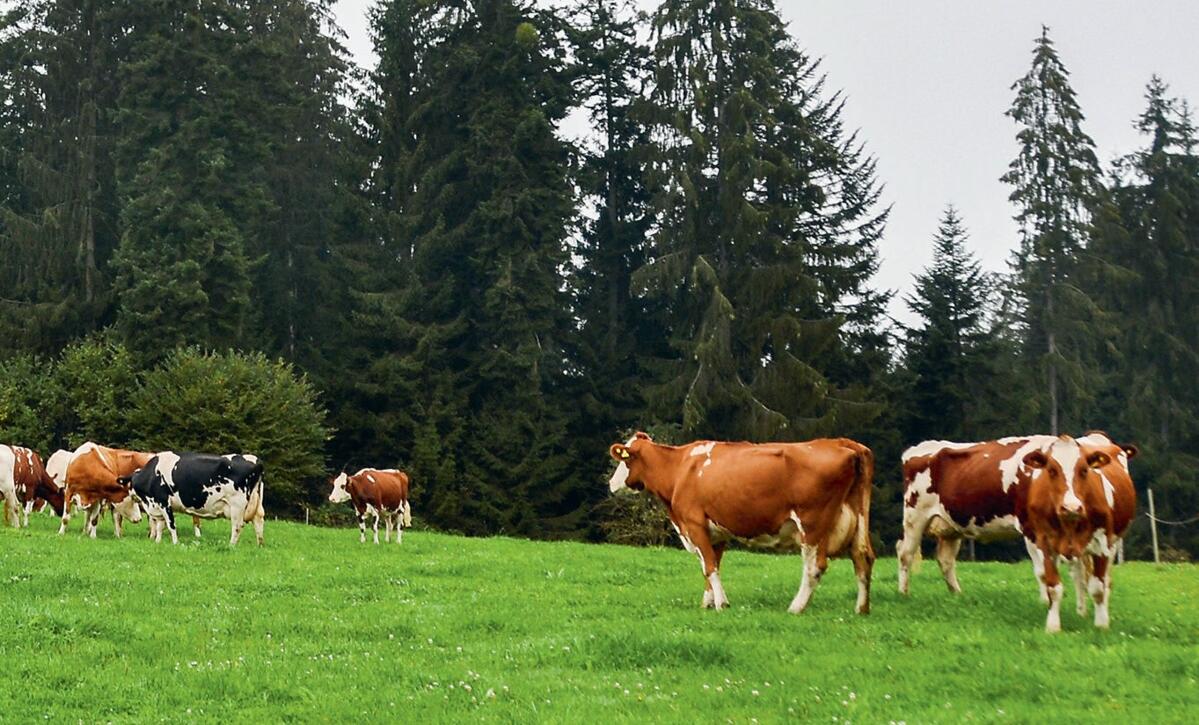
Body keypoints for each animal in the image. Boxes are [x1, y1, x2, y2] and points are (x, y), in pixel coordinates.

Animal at [127, 451, 264, 546]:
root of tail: (255, 459)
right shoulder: (158, 505)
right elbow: (160, 526)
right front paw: (158, 541)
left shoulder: (163, 502)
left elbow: (171, 525)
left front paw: (175, 543)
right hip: (255, 502)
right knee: (258, 521)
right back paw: (260, 544)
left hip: (237, 505)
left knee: (237, 526)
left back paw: (231, 546)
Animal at [607, 432, 875, 615]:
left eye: (625, 460)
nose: (611, 483)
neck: (680, 468)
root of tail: (843, 442)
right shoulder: (716, 532)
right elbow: (710, 565)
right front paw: (708, 602)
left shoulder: (694, 524)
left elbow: (709, 566)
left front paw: (721, 603)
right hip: (857, 520)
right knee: (863, 557)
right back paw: (861, 609)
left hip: (812, 524)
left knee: (815, 567)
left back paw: (796, 607)